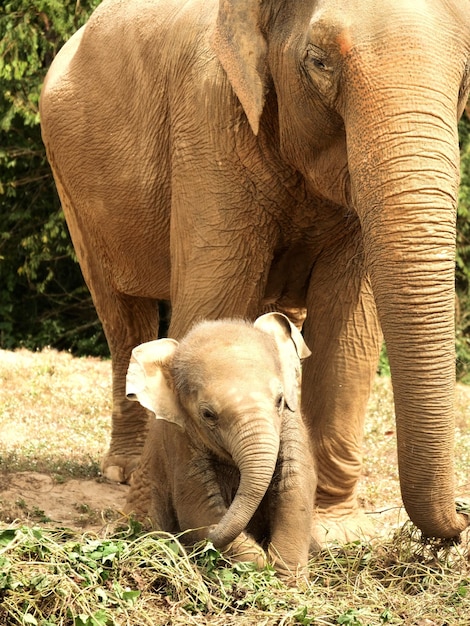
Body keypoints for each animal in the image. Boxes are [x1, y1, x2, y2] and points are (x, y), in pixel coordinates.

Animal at [40, 0, 470, 540]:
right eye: (319, 63)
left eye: (466, 78)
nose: (462, 518)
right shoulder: (209, 124)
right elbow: (212, 304)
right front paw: (154, 524)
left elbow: (348, 332)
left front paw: (333, 531)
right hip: (72, 184)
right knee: (123, 316)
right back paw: (122, 472)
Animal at [123, 310, 318, 576]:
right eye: (207, 415)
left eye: (279, 400)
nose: (179, 538)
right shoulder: (180, 439)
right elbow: (198, 509)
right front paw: (259, 566)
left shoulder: (291, 418)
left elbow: (296, 487)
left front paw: (286, 578)